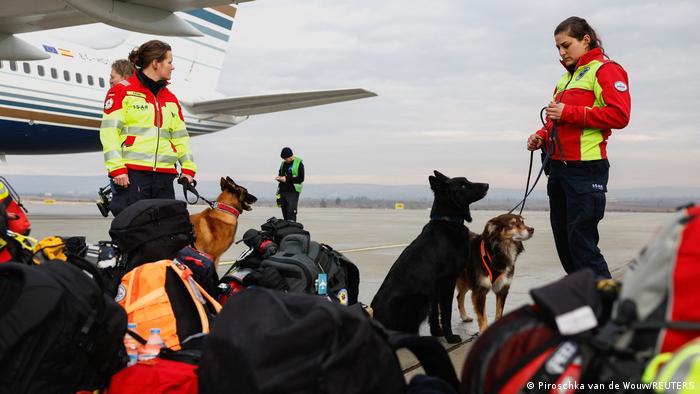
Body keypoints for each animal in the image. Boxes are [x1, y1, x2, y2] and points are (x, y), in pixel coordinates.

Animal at [372, 171, 486, 344]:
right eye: (463, 185)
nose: (487, 185)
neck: (448, 221)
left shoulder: (435, 287)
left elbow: (434, 313)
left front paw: (437, 332)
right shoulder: (447, 282)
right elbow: (445, 313)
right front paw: (450, 336)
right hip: (418, 301)